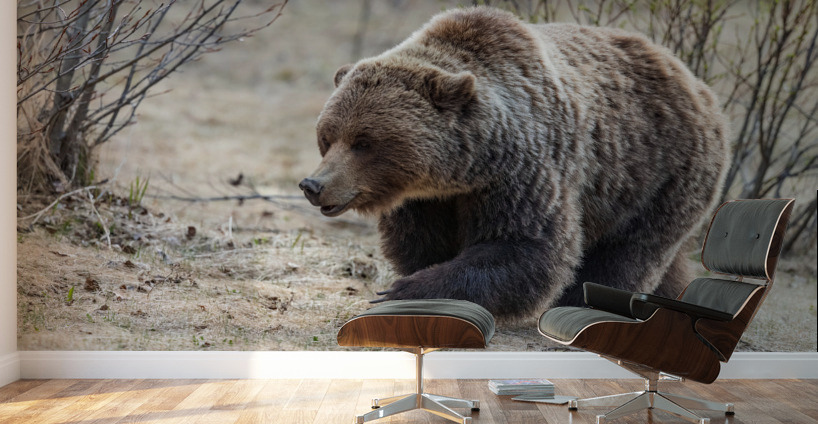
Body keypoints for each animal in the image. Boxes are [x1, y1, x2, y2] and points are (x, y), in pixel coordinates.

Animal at [299, 7, 730, 319]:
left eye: (363, 142)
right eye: (327, 137)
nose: (313, 185)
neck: (460, 171)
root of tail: (698, 83)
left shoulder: (522, 170)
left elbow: (525, 245)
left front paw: (405, 289)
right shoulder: (427, 200)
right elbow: (422, 242)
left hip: (661, 172)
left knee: (629, 249)